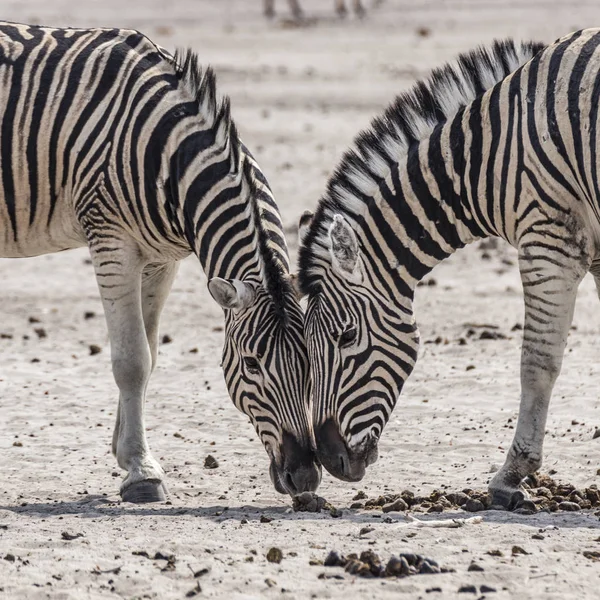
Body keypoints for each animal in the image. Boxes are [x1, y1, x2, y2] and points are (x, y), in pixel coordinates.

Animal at [0, 21, 322, 502]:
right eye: (251, 364)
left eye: (311, 360)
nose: (305, 477)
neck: (166, 154)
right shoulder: (111, 241)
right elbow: (131, 361)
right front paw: (141, 473)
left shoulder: (161, 259)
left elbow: (150, 357)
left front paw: (126, 453)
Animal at [292, 32, 600, 508]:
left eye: (346, 336)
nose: (328, 459)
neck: (485, 156)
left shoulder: (549, 239)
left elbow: (537, 362)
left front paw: (510, 477)